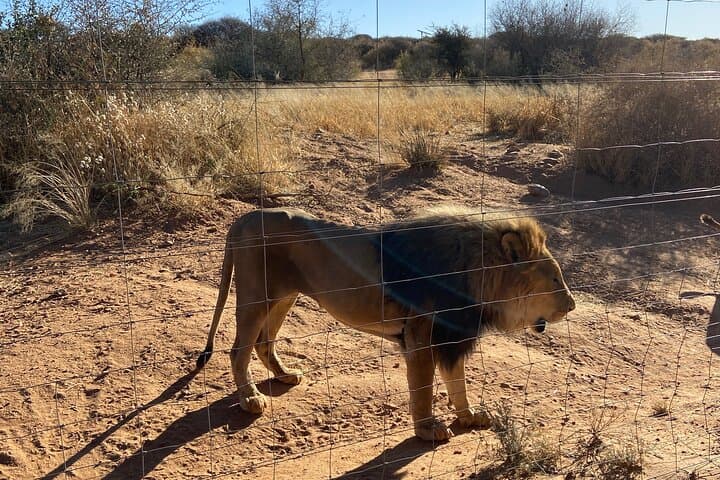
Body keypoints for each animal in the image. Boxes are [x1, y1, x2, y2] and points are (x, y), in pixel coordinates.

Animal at [195, 206, 575, 441]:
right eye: (556, 280)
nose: (572, 306)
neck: (476, 275)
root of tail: (244, 217)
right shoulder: (422, 335)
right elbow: (423, 388)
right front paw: (428, 429)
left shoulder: (451, 336)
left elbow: (457, 381)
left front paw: (468, 416)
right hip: (256, 297)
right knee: (238, 350)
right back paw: (250, 399)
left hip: (285, 296)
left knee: (264, 342)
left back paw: (285, 374)